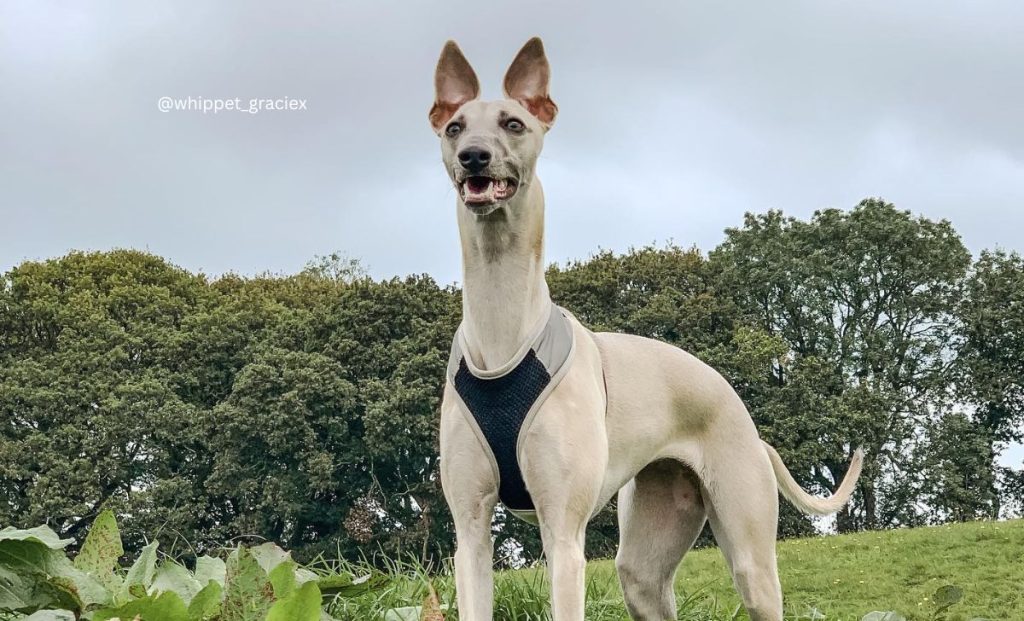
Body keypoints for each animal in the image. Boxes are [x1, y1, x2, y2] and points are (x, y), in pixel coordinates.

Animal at [432, 36, 864, 618]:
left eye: (513, 124)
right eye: (455, 127)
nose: (473, 156)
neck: (504, 336)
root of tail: (747, 421)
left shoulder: (563, 538)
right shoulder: (471, 533)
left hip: (751, 556)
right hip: (643, 563)